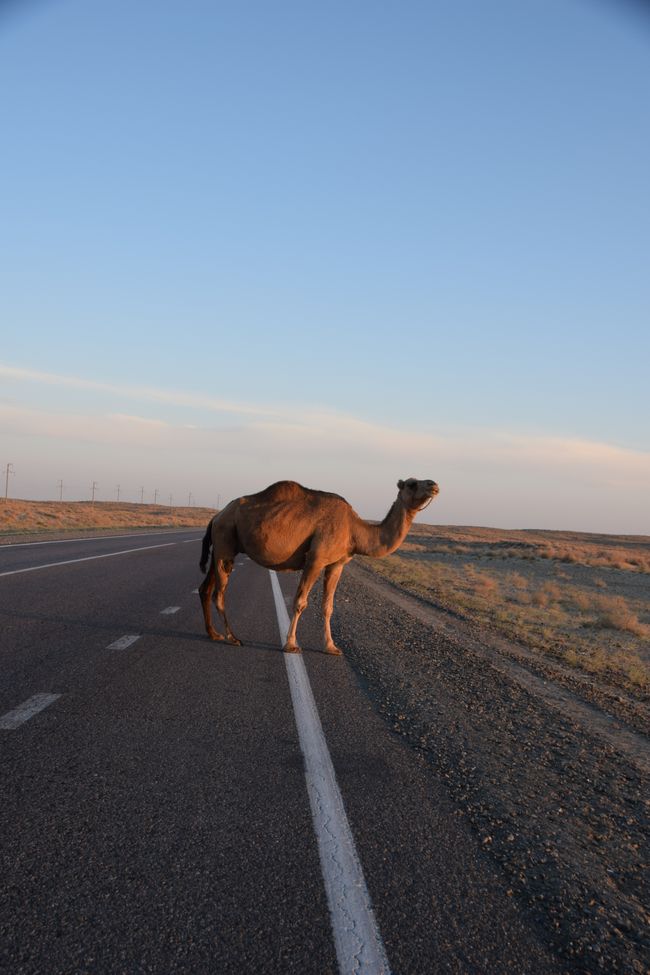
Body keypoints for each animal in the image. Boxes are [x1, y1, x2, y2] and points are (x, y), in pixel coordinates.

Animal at [198, 477, 439, 655]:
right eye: (412, 483)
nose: (434, 485)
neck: (354, 530)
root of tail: (217, 516)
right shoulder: (316, 559)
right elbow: (300, 602)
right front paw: (291, 644)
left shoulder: (337, 564)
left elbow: (328, 606)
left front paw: (332, 647)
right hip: (225, 541)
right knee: (219, 593)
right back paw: (232, 638)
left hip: (220, 547)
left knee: (205, 589)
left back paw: (213, 634)